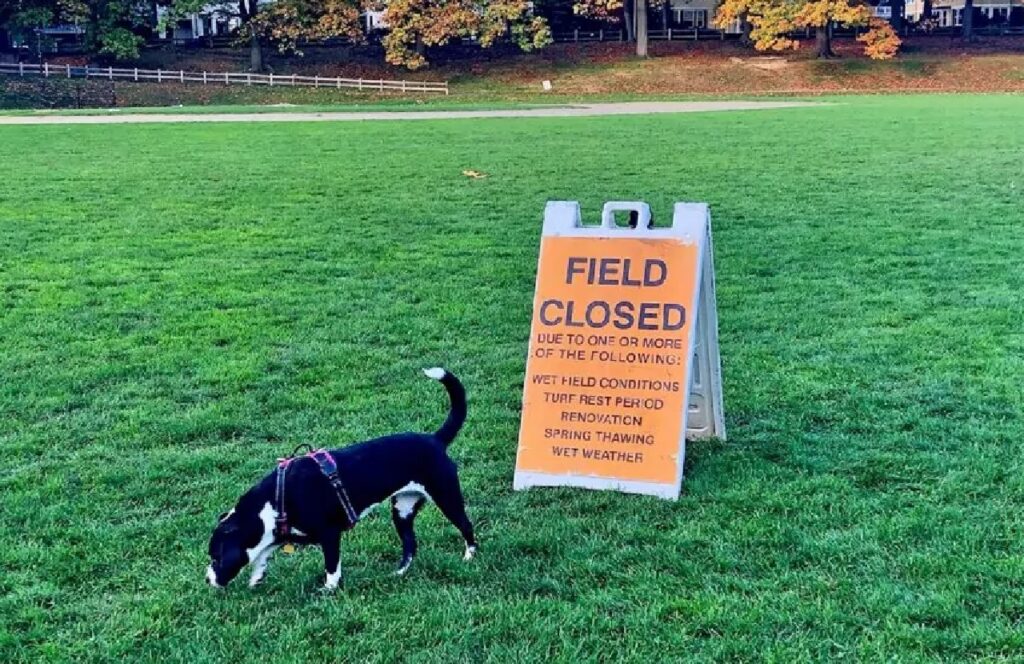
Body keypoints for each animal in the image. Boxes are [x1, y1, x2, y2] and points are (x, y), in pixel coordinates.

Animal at [208, 368, 479, 590]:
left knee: (466, 526)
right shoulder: (280, 534)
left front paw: (328, 590)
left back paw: (469, 556)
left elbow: (332, 567)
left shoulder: (329, 534)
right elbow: (262, 555)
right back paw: (399, 573)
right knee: (411, 545)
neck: (277, 498)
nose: (208, 580)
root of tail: (435, 440)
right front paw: (256, 578)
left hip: (446, 497)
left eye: (216, 557)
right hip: (403, 509)